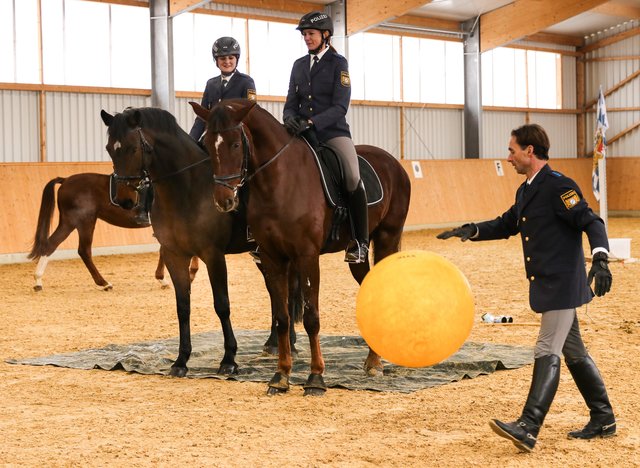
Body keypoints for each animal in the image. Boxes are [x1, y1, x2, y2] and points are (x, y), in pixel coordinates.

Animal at [27, 173, 199, 291]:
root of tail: (66, 180)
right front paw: (167, 278)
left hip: (71, 222)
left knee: (51, 245)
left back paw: (38, 281)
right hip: (83, 221)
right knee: (82, 250)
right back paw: (104, 283)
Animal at [100, 106, 301, 376]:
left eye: (132, 148)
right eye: (110, 148)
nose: (124, 200)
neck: (186, 190)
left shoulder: (212, 255)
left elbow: (222, 305)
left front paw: (229, 359)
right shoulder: (174, 255)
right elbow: (182, 307)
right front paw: (181, 360)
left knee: (288, 290)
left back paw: (289, 343)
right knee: (275, 290)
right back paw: (273, 343)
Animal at [190, 99, 411, 396]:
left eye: (236, 144)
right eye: (207, 143)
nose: (224, 200)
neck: (279, 181)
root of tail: (393, 163)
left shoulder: (307, 256)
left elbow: (311, 317)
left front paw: (315, 378)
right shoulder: (272, 257)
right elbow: (282, 317)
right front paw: (281, 375)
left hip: (387, 236)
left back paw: (376, 363)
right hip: (358, 256)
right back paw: (372, 361)